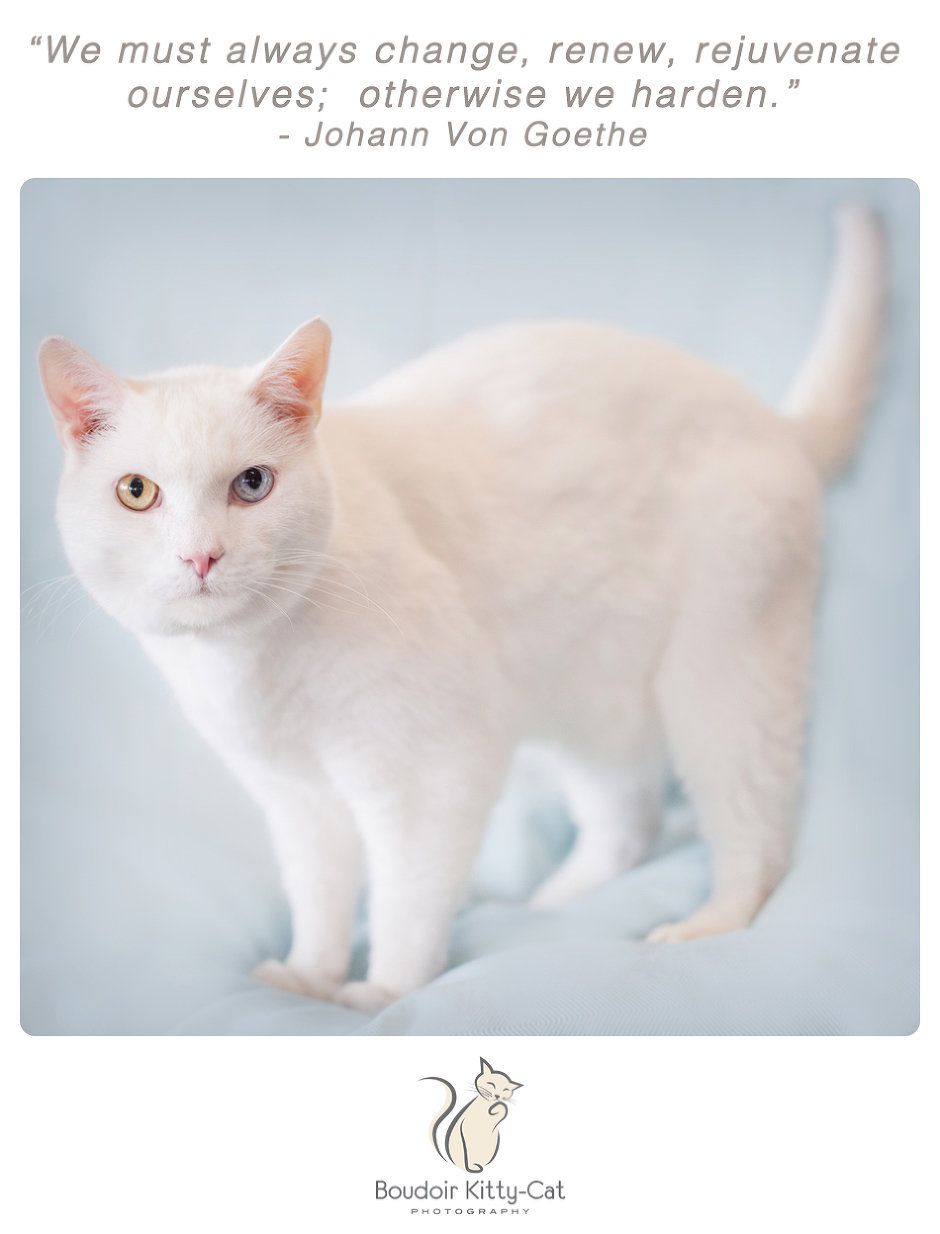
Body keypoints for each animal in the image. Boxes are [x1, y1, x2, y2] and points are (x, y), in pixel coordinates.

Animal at [36, 209, 883, 1011]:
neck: (253, 669)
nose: (200, 556)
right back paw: (544, 908)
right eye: (137, 492)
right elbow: (319, 898)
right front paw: (308, 977)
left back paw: (700, 925)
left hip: (724, 682)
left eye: (252, 484)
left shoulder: (429, 774)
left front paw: (383, 993)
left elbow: (406, 897)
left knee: (755, 836)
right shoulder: (300, 802)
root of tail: (774, 421)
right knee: (627, 824)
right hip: (590, 700)